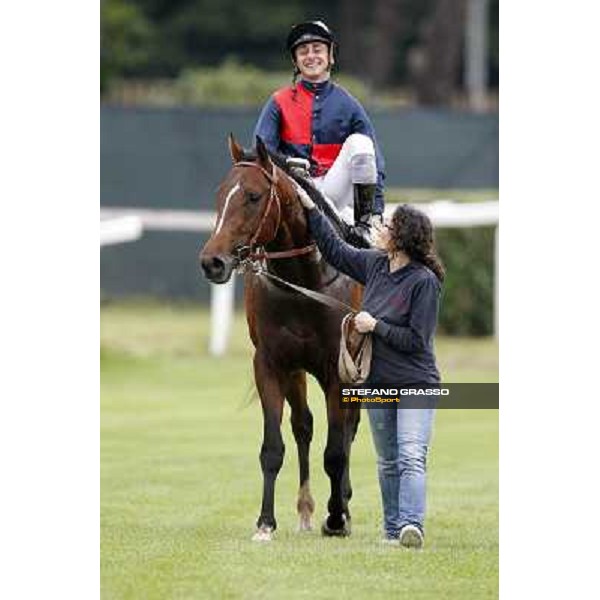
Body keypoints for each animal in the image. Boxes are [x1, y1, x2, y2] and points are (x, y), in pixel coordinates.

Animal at [200, 134, 360, 540]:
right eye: (219, 193)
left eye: (254, 196)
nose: (212, 262)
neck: (303, 282)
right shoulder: (271, 363)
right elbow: (273, 447)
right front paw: (265, 522)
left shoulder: (338, 370)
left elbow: (336, 451)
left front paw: (337, 517)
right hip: (296, 372)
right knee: (303, 424)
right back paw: (305, 509)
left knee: (348, 431)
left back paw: (343, 505)